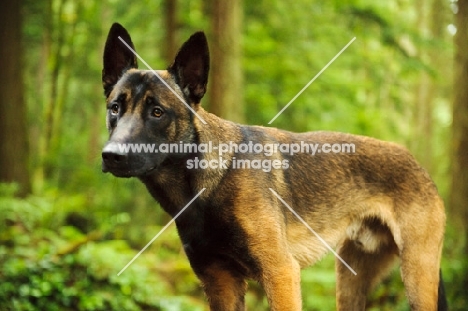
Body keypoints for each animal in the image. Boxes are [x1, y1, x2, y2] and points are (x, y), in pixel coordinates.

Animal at [101, 23, 446, 310]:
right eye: (115, 108)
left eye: (157, 112)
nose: (111, 155)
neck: (205, 182)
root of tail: (416, 164)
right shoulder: (220, 283)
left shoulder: (280, 272)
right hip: (350, 281)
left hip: (417, 275)